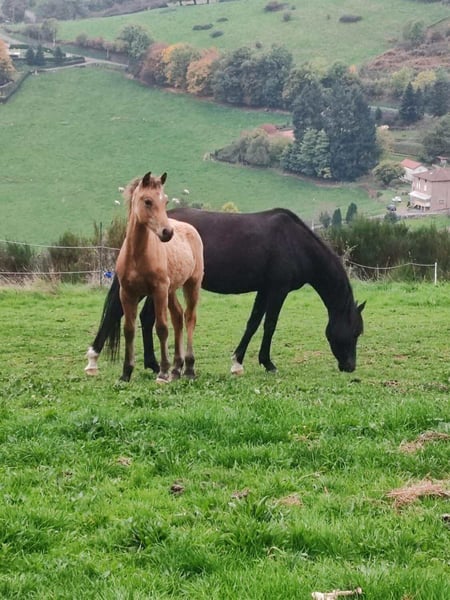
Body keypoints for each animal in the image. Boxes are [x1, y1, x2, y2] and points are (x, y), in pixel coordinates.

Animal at [85, 173, 203, 383]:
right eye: (147, 201)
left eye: (165, 201)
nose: (167, 233)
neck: (137, 255)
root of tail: (190, 229)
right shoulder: (127, 293)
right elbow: (129, 329)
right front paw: (126, 372)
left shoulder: (158, 291)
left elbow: (161, 328)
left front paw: (162, 373)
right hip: (171, 290)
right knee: (178, 317)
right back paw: (176, 368)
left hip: (191, 284)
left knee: (190, 317)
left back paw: (188, 368)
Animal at [87, 207, 365, 375]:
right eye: (355, 332)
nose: (350, 366)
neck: (295, 243)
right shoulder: (278, 289)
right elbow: (270, 325)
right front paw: (268, 363)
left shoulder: (264, 289)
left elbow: (253, 322)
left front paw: (238, 362)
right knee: (124, 314)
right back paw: (99, 358)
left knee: (143, 318)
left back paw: (152, 364)